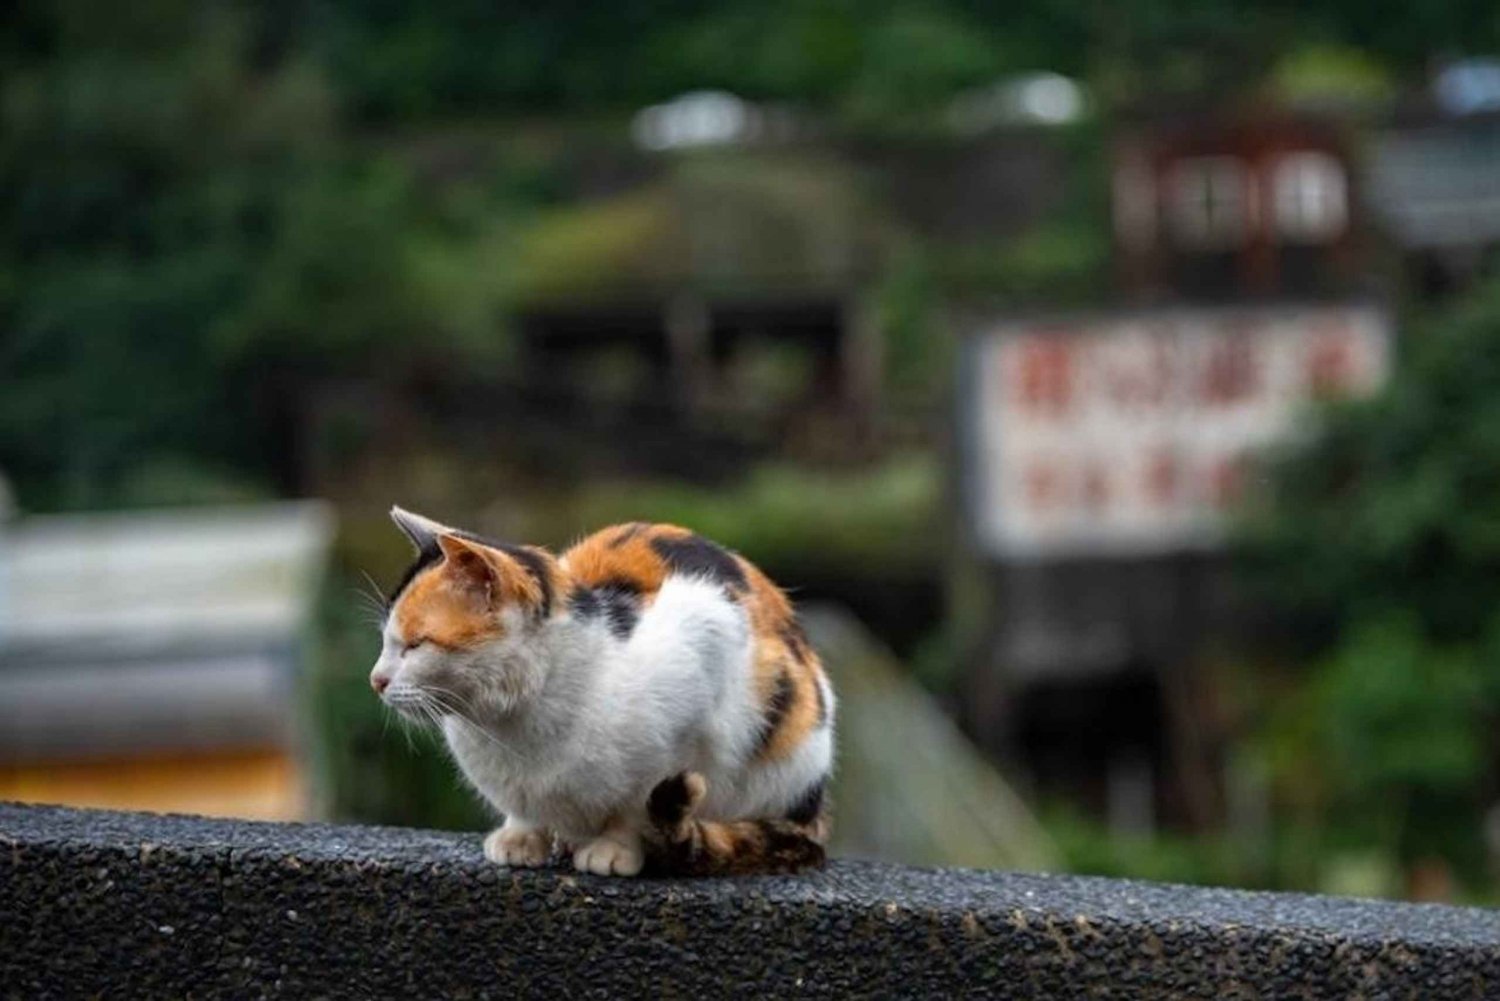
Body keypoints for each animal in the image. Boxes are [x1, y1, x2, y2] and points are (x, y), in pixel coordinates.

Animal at [364, 510, 834, 876]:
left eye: (415, 645)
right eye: (386, 641)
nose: (376, 680)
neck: (521, 720)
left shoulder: (705, 643)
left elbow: (634, 807)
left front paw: (614, 850)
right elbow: (524, 809)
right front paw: (521, 838)